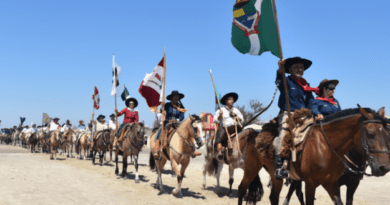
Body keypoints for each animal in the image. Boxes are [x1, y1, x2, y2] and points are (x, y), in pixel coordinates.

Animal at [236, 106, 390, 205]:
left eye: (386, 134)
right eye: (370, 134)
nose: (384, 168)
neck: (325, 146)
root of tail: (254, 132)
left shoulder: (333, 184)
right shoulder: (310, 184)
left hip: (275, 175)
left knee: (274, 197)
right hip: (251, 167)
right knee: (242, 189)